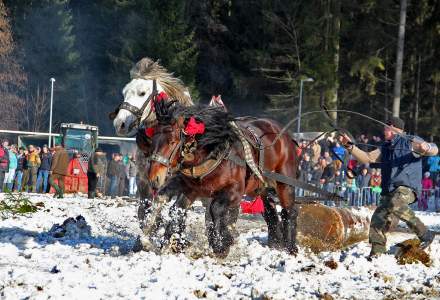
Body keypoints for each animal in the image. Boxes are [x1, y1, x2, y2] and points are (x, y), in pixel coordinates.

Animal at [146, 100, 300, 255]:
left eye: (172, 141)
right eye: (153, 140)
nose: (154, 178)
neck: (213, 152)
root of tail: (283, 133)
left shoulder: (235, 191)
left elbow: (216, 209)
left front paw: (222, 242)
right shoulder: (191, 188)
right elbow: (172, 205)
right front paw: (159, 239)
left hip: (284, 182)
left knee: (289, 211)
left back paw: (290, 247)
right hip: (261, 187)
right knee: (270, 211)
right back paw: (276, 243)